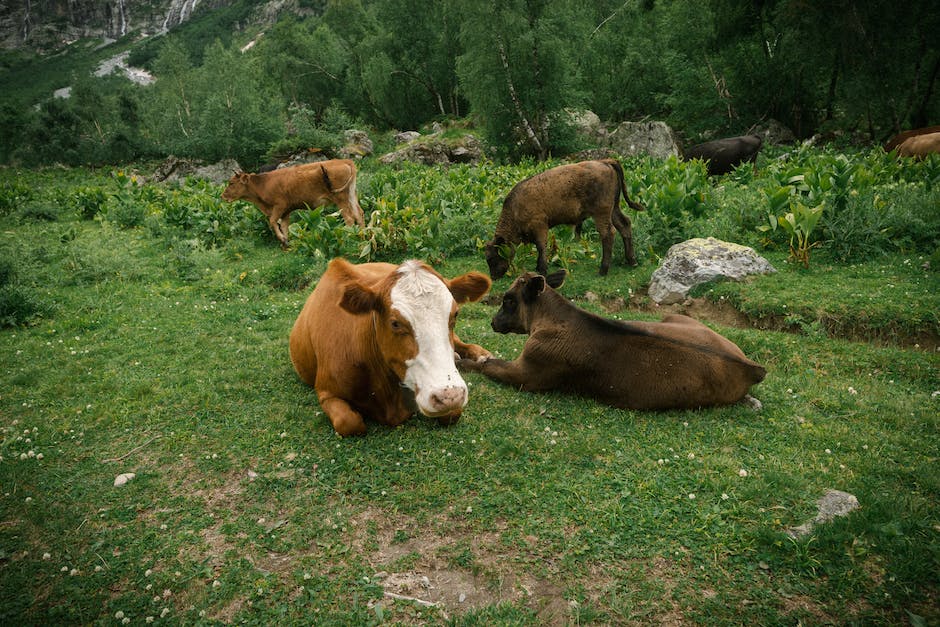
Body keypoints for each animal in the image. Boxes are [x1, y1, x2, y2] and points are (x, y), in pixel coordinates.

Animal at [222, 159, 366, 248]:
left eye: (231, 183)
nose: (222, 196)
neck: (263, 184)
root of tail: (344, 161)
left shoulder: (279, 206)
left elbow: (273, 221)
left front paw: (282, 239)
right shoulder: (286, 211)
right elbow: (284, 226)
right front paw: (286, 243)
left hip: (341, 199)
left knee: (349, 218)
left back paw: (348, 237)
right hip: (351, 195)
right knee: (359, 214)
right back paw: (362, 235)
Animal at [288, 258, 492, 436]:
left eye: (455, 314)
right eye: (395, 323)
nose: (451, 396)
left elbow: (453, 414)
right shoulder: (326, 391)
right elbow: (349, 422)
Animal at [458, 272, 768, 412]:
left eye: (509, 299)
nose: (493, 322)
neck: (555, 318)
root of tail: (752, 366)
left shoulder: (527, 373)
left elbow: (488, 364)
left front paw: (463, 363)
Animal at [484, 159, 648, 280]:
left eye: (491, 258)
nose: (493, 277)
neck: (516, 208)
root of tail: (605, 161)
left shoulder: (540, 227)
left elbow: (541, 247)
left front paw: (542, 270)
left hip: (601, 213)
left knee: (608, 233)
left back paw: (603, 270)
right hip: (614, 209)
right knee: (625, 225)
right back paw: (632, 261)